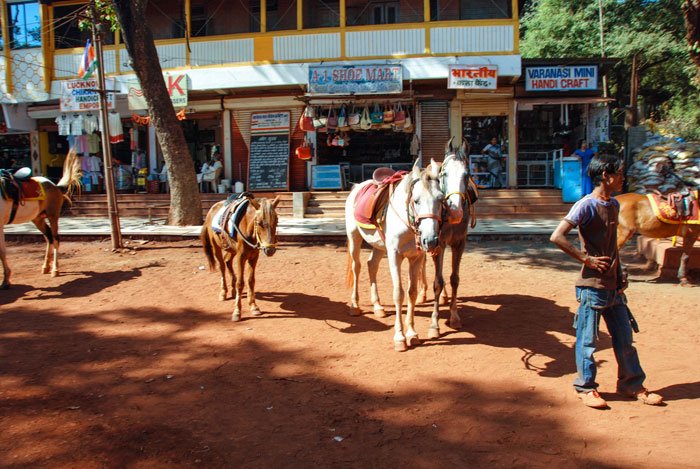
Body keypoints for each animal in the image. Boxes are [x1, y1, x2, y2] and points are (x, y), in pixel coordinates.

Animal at [0, 150, 81, 288]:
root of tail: (55, 186)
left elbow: (1, 252)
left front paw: (6, 280)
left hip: (53, 215)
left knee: (55, 239)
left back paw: (55, 269)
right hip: (37, 218)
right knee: (49, 237)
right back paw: (45, 267)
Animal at [201, 192, 280, 320]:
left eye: (276, 222)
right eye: (259, 223)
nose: (270, 250)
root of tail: (211, 210)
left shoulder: (253, 256)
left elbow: (251, 281)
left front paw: (253, 306)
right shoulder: (241, 256)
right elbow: (240, 283)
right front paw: (237, 311)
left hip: (231, 249)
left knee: (227, 261)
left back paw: (233, 290)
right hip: (216, 247)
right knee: (222, 266)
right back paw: (223, 292)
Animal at [346, 159, 442, 350]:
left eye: (440, 199)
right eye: (416, 201)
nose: (431, 240)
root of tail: (356, 187)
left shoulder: (416, 258)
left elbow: (412, 292)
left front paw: (412, 333)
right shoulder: (394, 256)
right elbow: (399, 293)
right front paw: (399, 337)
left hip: (379, 246)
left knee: (371, 265)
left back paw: (378, 307)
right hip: (354, 238)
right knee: (357, 267)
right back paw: (355, 306)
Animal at [424, 136, 478, 336]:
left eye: (466, 174)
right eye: (444, 174)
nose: (455, 211)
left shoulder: (459, 243)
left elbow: (454, 279)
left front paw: (454, 316)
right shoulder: (437, 243)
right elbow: (437, 282)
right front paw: (434, 324)